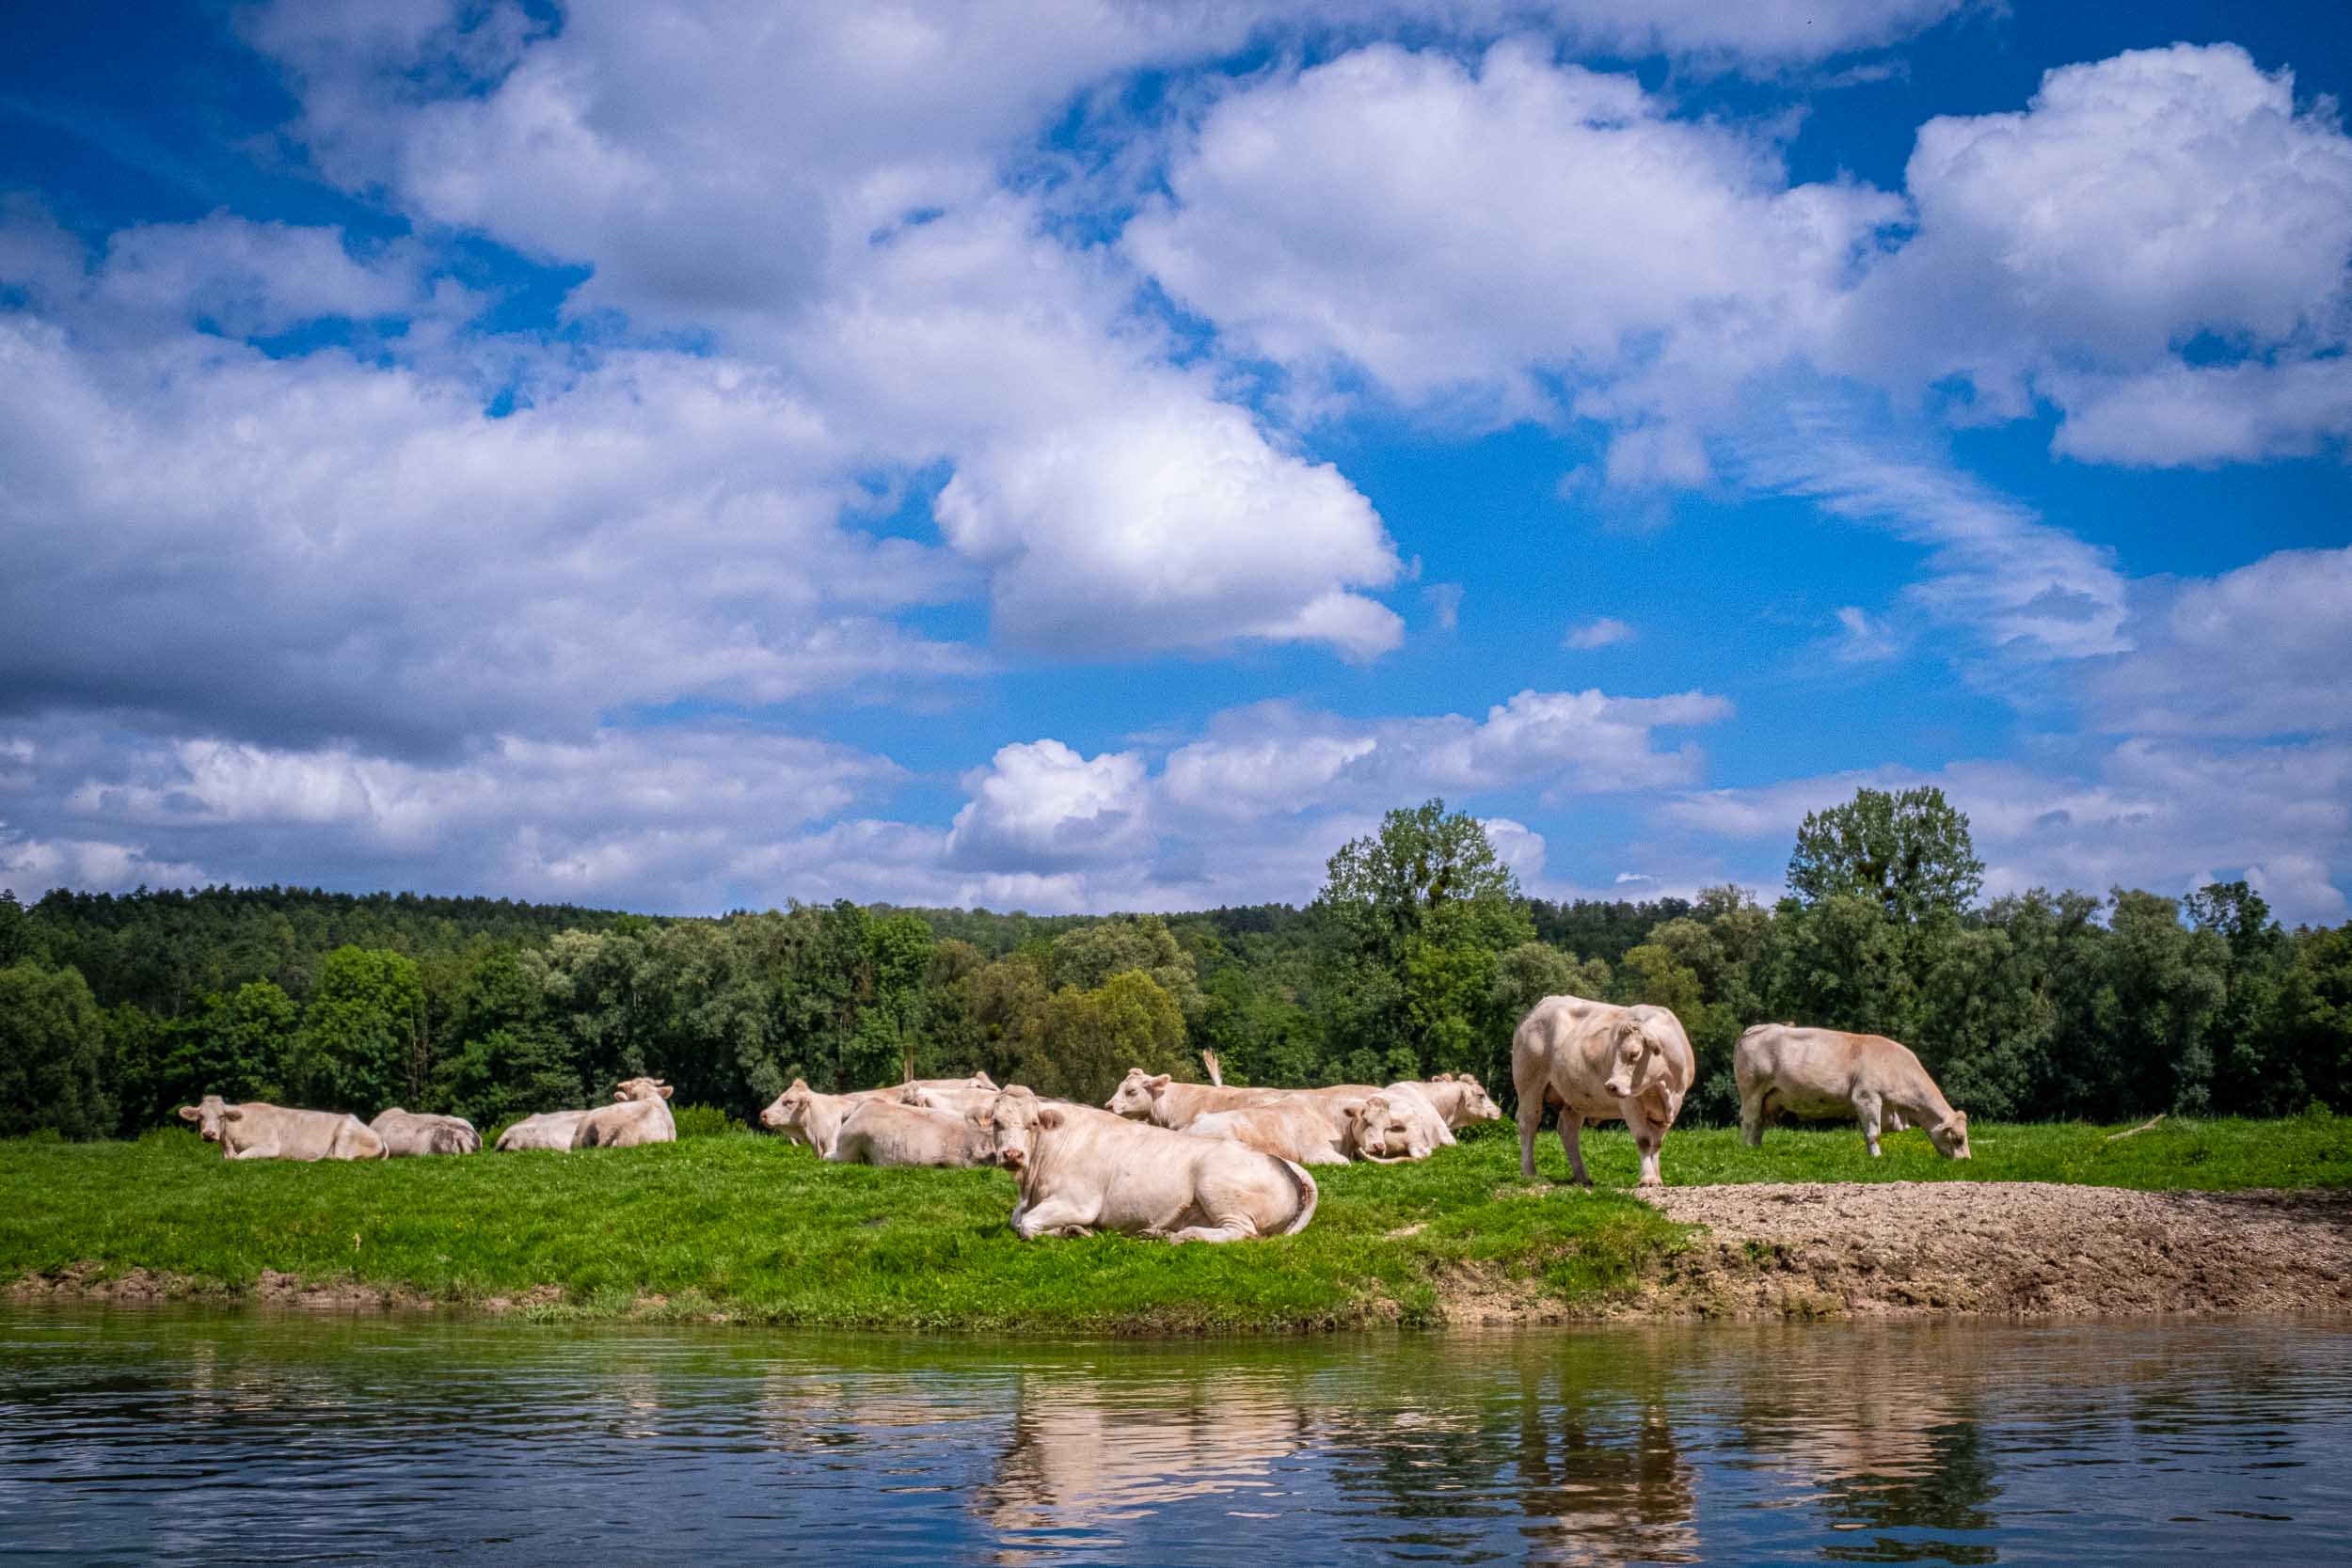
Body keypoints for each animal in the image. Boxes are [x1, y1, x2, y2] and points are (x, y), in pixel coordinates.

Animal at [175, 1100, 386, 1161]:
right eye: (201, 1116)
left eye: (221, 1116)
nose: (209, 1134)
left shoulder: (269, 1145)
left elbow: (239, 1159)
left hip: (344, 1134)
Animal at [978, 1085, 1327, 1241]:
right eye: (996, 1122)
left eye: (1032, 1123)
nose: (1012, 1155)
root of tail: (1279, 1161)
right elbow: (1018, 1220)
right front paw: (1071, 1230)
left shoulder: (1078, 1202)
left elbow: (1027, 1225)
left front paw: (1071, 1231)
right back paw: (1157, 1233)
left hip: (1217, 1187)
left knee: (1240, 1233)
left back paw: (1185, 1236)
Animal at [1515, 991, 1703, 1189]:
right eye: (1614, 1052)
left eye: (1634, 1053)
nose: (1611, 1086)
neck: (1660, 1086)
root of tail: (1545, 1002)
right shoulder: (1630, 1102)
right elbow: (1644, 1140)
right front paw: (1648, 1179)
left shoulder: (1674, 1102)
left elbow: (1657, 1143)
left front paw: (1657, 1178)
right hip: (1529, 1084)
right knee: (1529, 1123)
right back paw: (1529, 1172)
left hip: (1574, 1097)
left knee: (1568, 1130)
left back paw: (1582, 1177)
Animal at [1740, 1024, 1976, 1161]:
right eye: (1959, 1139)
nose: (1966, 1161)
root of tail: (1755, 1028)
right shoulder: (1867, 1097)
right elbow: (1874, 1133)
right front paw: (1877, 1158)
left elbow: (1867, 1133)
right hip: (1751, 1093)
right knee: (1750, 1122)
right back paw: (1748, 1151)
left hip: (1767, 1099)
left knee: (1758, 1124)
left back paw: (1757, 1148)